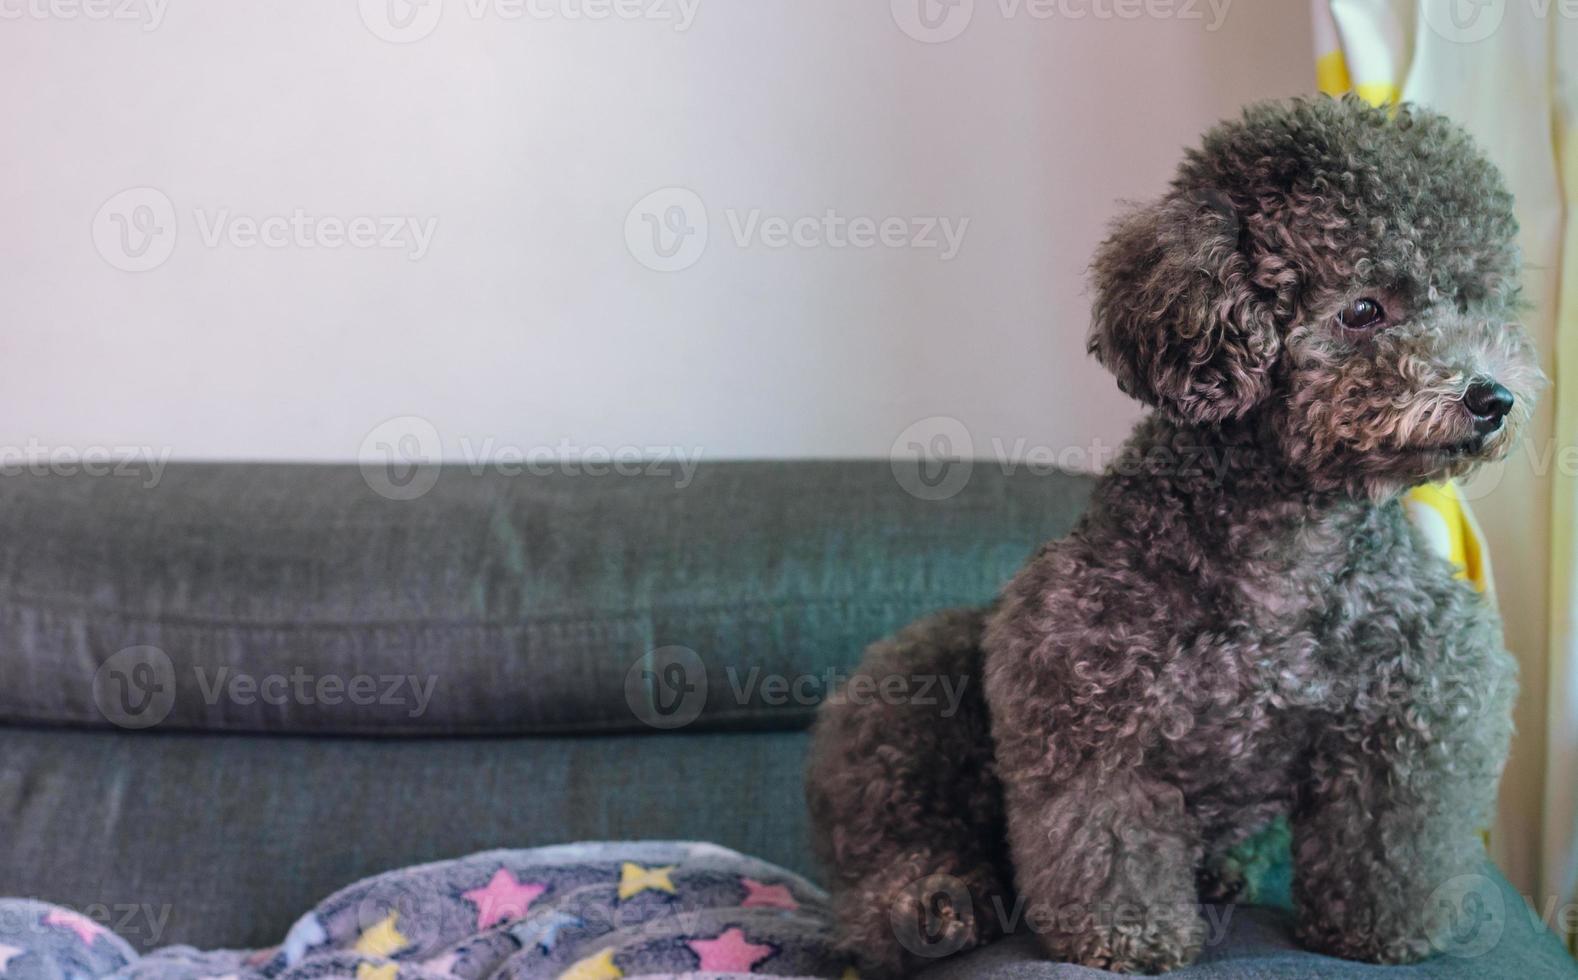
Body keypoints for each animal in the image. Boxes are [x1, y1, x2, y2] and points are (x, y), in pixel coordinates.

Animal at [807, 95, 1546, 972]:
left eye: (1474, 301)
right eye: (1365, 309)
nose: (1492, 398)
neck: (1289, 546)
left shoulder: (1415, 703)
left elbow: (1387, 835)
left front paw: (1377, 928)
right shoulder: (1086, 704)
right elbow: (1107, 839)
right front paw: (1127, 935)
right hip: (916, 688)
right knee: (893, 860)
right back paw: (931, 907)